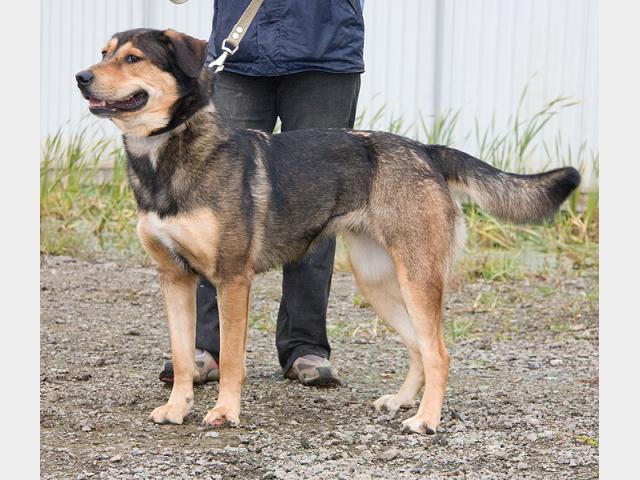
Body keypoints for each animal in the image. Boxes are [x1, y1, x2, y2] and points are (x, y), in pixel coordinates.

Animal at [75, 29, 580, 436]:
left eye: (133, 58)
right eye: (103, 53)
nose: (80, 76)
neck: (164, 157)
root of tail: (425, 150)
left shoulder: (232, 279)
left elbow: (233, 360)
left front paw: (224, 412)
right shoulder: (175, 279)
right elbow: (183, 358)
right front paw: (178, 408)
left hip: (417, 279)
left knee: (439, 353)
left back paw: (425, 419)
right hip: (378, 282)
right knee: (418, 347)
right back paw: (402, 402)